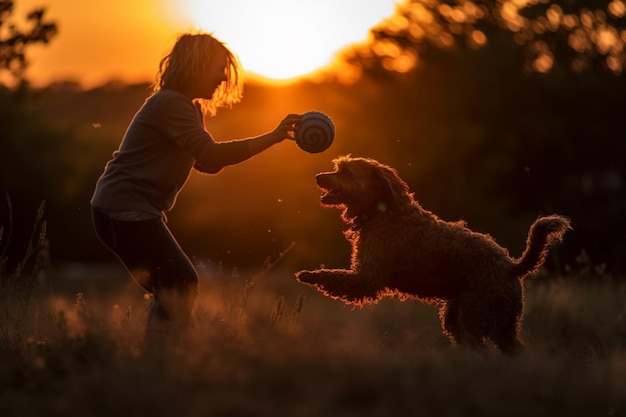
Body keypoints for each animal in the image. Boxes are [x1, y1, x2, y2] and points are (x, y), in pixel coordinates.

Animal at [298, 155, 572, 352]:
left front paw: (308, 275)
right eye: (337, 168)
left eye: (346, 172)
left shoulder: (367, 278)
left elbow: (335, 277)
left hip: (476, 315)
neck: (382, 212)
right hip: (484, 321)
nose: (318, 176)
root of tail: (512, 267)